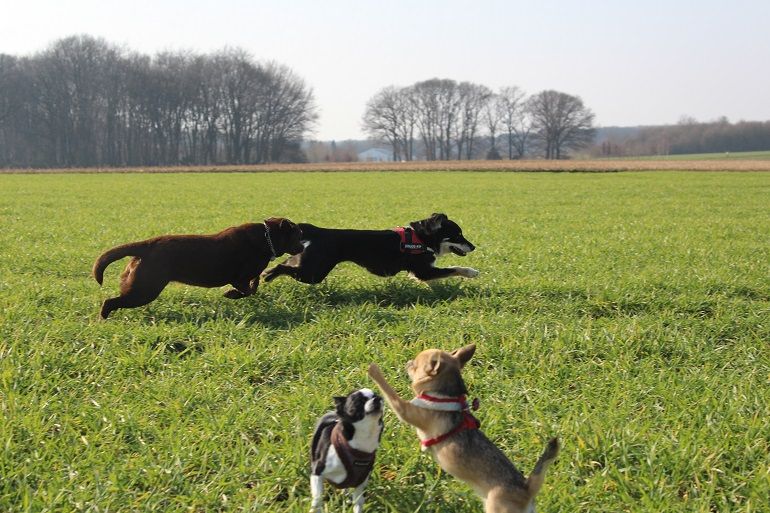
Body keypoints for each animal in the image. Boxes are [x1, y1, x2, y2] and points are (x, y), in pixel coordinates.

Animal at [91, 215, 302, 316]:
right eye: (298, 234)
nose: (303, 246)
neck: (267, 238)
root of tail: (147, 245)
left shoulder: (249, 275)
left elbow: (255, 283)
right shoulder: (238, 278)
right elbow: (248, 290)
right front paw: (231, 295)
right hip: (144, 289)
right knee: (110, 302)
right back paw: (103, 318)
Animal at [260, 212, 474, 284]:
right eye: (458, 235)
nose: (473, 246)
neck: (423, 238)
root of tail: (316, 230)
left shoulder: (422, 272)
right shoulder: (424, 270)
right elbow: (453, 269)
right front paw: (472, 272)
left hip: (306, 260)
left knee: (285, 263)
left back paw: (266, 274)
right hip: (314, 272)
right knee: (284, 267)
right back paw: (269, 276)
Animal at [368, 344, 560, 512]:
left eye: (415, 366)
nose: (408, 362)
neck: (444, 394)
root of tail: (526, 488)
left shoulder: (406, 410)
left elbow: (391, 393)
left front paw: (375, 371)